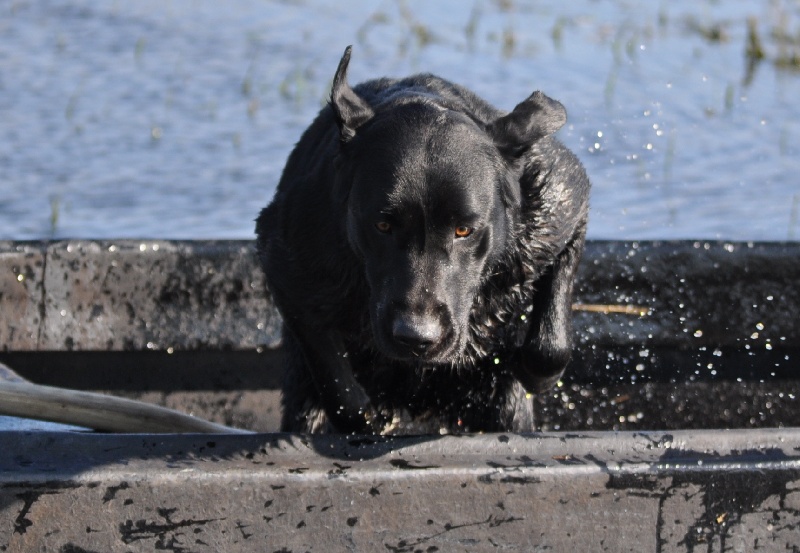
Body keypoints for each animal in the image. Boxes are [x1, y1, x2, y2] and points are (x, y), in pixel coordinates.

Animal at [260, 47, 592, 434]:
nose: (417, 338)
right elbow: (334, 377)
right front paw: (370, 420)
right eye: (383, 225)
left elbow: (551, 344)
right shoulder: (286, 256)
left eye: (464, 230)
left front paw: (532, 370)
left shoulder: (561, 202)